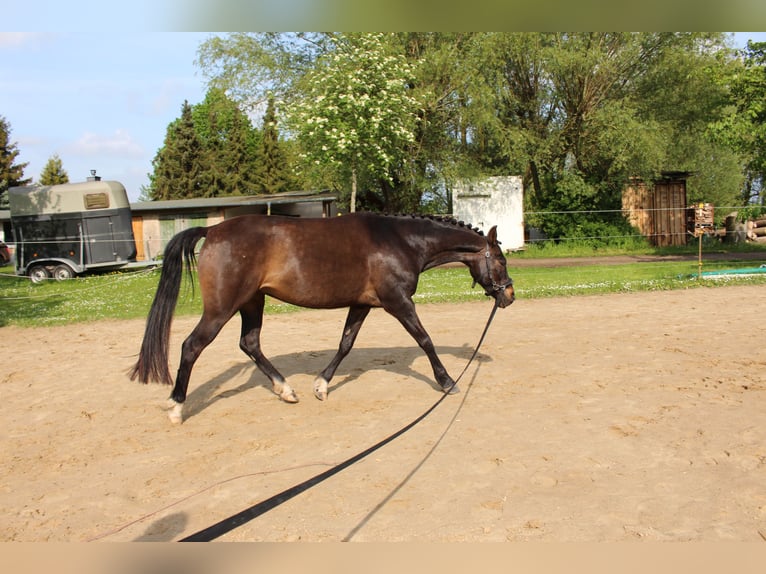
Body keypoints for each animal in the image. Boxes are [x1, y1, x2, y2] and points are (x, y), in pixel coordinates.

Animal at [130, 214, 516, 426]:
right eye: (500, 260)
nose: (510, 294)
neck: (401, 241)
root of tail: (212, 232)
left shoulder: (362, 305)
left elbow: (346, 344)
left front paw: (321, 385)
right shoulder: (398, 302)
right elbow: (425, 339)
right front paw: (447, 381)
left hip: (253, 302)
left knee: (249, 343)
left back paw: (286, 390)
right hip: (222, 308)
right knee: (191, 346)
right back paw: (176, 407)